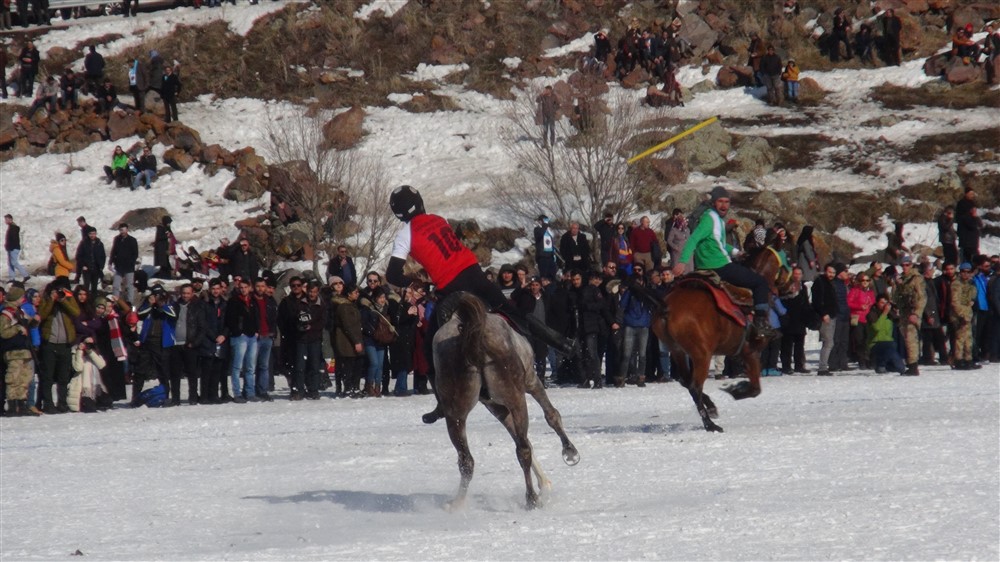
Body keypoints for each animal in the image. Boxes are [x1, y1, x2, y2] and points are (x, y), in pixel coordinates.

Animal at [434, 294, 584, 508]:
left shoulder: (495, 406)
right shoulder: (531, 381)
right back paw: (531, 498)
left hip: (456, 412)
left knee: (466, 460)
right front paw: (569, 451)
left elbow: (520, 435)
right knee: (523, 450)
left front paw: (545, 482)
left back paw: (456, 504)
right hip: (516, 397)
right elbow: (551, 415)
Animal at [648, 247, 796, 430]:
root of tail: (666, 307)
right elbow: (755, 389)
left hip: (677, 352)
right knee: (694, 386)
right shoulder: (751, 351)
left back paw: (711, 407)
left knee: (686, 381)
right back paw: (710, 424)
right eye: (787, 257)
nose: (794, 285)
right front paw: (735, 389)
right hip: (702, 354)